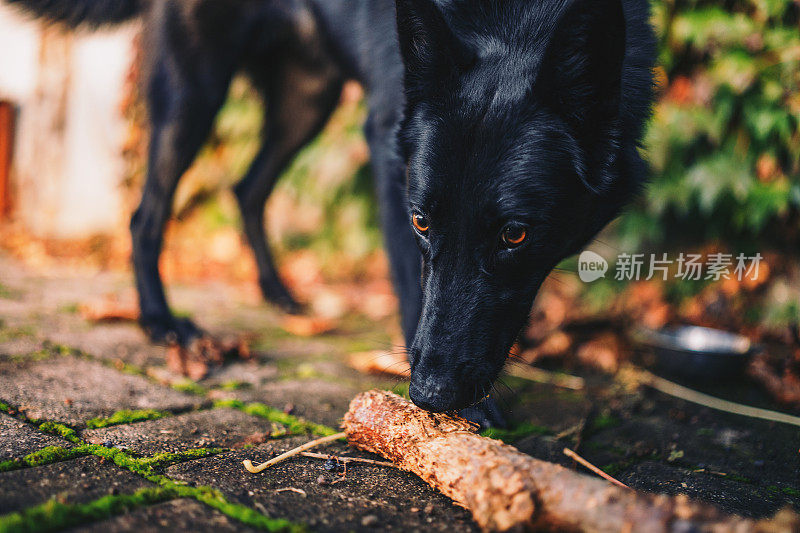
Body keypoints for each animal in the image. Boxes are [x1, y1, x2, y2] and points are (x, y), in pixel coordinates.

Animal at [9, 0, 652, 422]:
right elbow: (412, 287)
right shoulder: (391, 157)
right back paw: (160, 319)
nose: (430, 396)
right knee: (147, 212)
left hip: (306, 98)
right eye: (422, 222)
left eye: (515, 235)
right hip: (196, 91)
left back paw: (278, 293)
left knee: (247, 188)